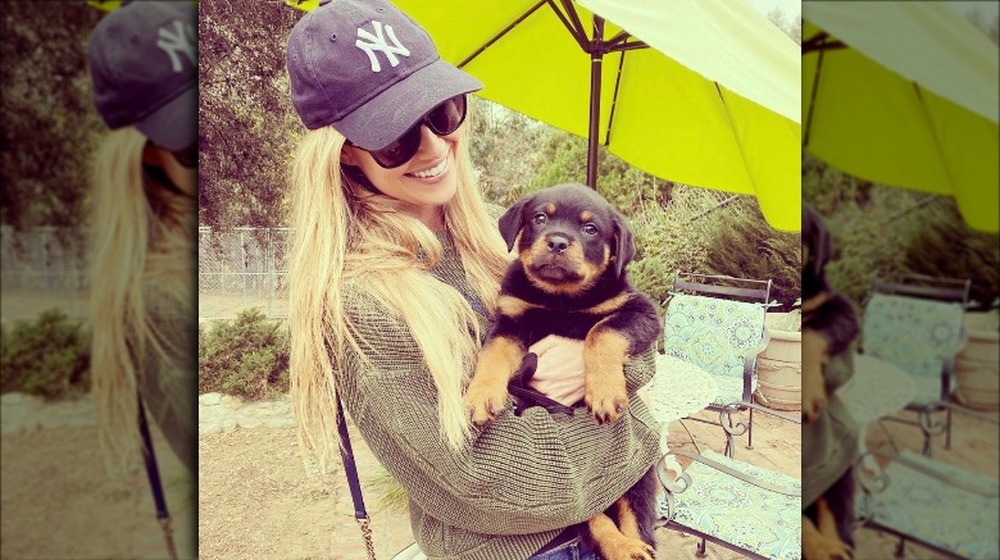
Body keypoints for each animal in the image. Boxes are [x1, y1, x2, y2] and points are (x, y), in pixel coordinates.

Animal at [462, 184, 664, 560]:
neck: (560, 300)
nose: (557, 242)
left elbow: (602, 332)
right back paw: (622, 547)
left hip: (639, 475)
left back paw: (634, 548)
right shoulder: (511, 320)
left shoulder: (639, 310)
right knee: (594, 517)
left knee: (632, 513)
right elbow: (492, 355)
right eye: (540, 218)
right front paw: (480, 396)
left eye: (590, 229)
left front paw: (604, 392)